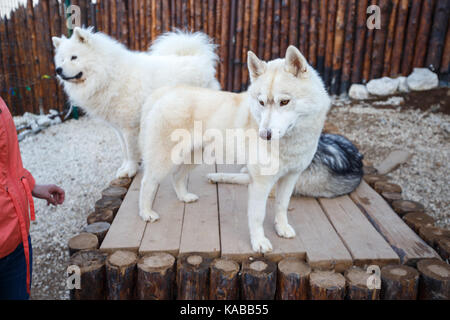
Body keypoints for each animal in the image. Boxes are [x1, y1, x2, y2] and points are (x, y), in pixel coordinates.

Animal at [52, 26, 220, 179]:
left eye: (74, 57)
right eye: (62, 59)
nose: (58, 70)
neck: (108, 74)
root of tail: (199, 59)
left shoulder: (130, 128)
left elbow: (132, 152)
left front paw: (130, 170)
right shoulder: (119, 129)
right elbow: (125, 151)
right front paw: (124, 168)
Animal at [140, 46, 330, 254]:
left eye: (285, 102)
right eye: (262, 102)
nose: (264, 135)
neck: (290, 142)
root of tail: (164, 93)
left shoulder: (290, 177)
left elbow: (282, 206)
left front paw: (282, 228)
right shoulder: (261, 183)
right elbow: (258, 216)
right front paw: (259, 242)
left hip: (195, 157)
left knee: (177, 176)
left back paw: (184, 197)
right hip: (163, 161)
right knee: (147, 183)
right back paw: (146, 213)